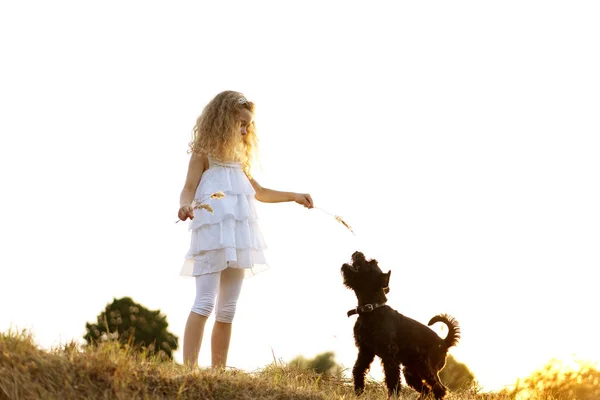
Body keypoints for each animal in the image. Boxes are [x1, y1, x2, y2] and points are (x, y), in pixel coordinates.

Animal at [340, 252, 462, 398]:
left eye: (371, 262)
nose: (358, 253)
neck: (371, 310)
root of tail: (444, 341)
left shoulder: (389, 356)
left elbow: (392, 380)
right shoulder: (365, 351)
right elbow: (358, 370)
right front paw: (358, 392)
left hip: (425, 368)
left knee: (439, 388)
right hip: (411, 371)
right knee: (427, 390)